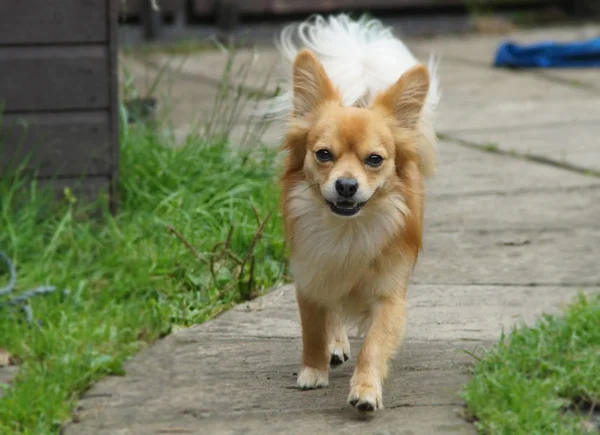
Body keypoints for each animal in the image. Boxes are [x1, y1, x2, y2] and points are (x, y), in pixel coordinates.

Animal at [262, 13, 440, 414]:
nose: (346, 185)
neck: (347, 231)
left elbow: (374, 344)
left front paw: (366, 389)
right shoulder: (310, 279)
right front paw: (313, 371)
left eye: (374, 159)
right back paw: (336, 344)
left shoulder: (389, 296)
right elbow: (313, 328)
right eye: (323, 154)